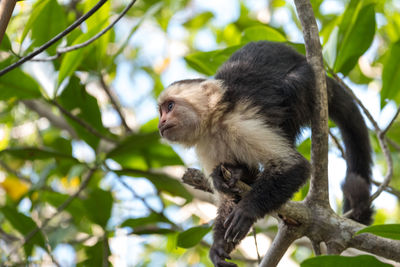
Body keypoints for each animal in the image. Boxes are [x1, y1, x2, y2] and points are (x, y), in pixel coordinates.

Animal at [156, 40, 372, 266]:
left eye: (170, 106)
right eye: (160, 111)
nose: (161, 123)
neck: (215, 123)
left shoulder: (241, 123)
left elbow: (294, 166)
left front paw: (248, 209)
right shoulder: (206, 145)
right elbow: (227, 200)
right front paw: (219, 246)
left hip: (310, 82)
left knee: (290, 90)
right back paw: (240, 174)